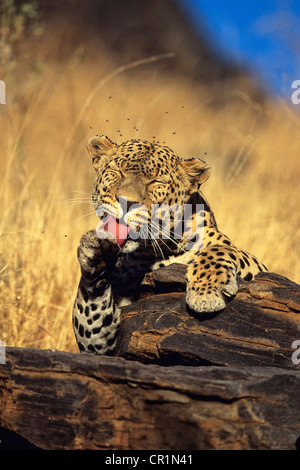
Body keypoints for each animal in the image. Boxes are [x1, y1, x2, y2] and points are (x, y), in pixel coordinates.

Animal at [73, 134, 268, 354]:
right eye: (117, 171)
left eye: (156, 181)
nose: (126, 202)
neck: (153, 251)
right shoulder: (101, 344)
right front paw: (97, 254)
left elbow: (219, 249)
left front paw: (206, 295)